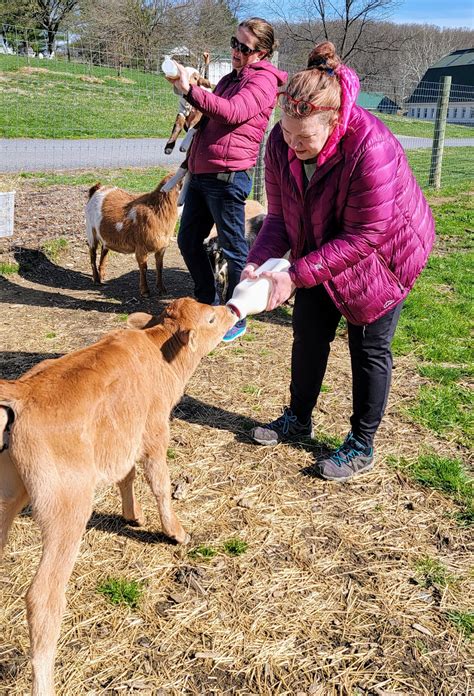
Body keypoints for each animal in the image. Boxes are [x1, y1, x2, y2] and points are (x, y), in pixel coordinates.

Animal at [0, 298, 235, 696]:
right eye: (210, 317)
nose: (233, 310)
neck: (159, 353)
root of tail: (23, 393)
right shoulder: (154, 431)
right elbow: (160, 484)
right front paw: (175, 532)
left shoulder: (124, 435)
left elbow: (126, 475)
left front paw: (131, 514)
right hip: (67, 509)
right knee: (43, 598)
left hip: (7, 495)